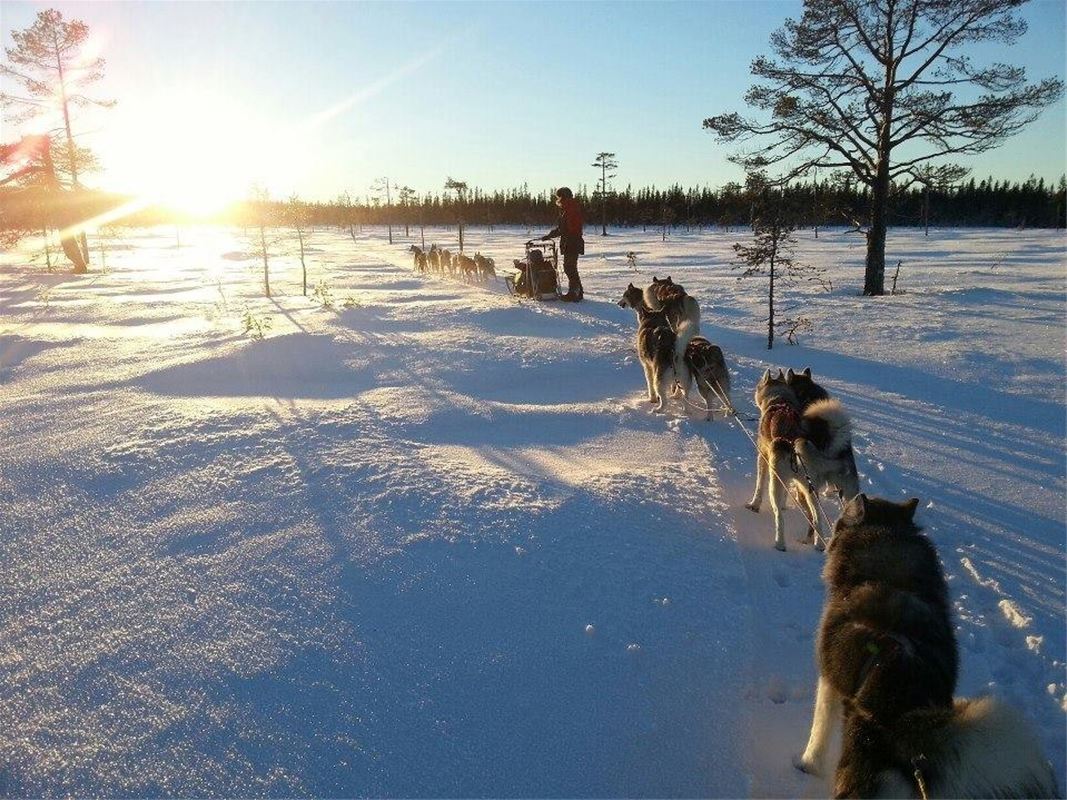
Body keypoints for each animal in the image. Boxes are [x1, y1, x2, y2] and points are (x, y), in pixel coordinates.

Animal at [623, 285, 678, 413]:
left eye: (624, 295)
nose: (619, 303)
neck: (653, 321)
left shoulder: (647, 366)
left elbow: (650, 384)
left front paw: (652, 399)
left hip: (659, 378)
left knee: (663, 399)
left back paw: (658, 409)